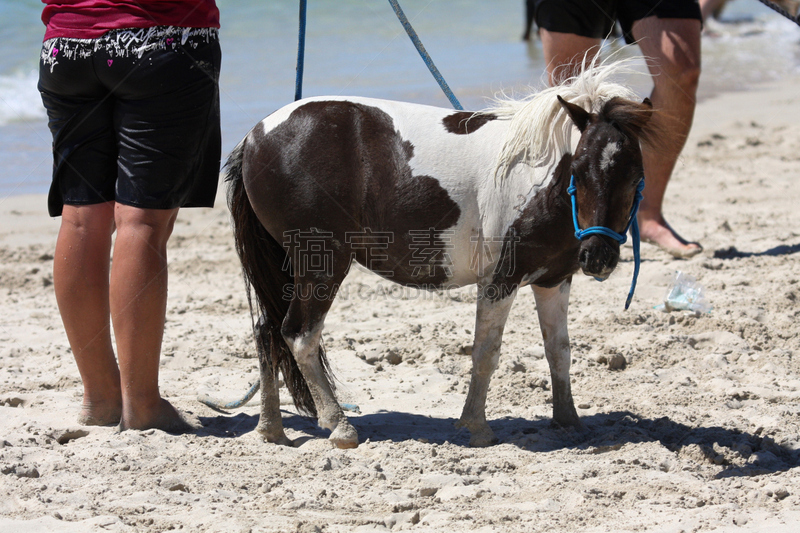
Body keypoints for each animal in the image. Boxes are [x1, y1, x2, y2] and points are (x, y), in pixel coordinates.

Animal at [225, 60, 664, 446]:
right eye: (579, 170)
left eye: (636, 176)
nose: (598, 257)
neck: (536, 177)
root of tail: (255, 136)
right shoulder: (500, 281)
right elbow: (486, 354)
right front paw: (476, 427)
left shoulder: (554, 281)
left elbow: (559, 351)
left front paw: (568, 421)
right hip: (322, 263)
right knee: (298, 334)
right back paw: (339, 425)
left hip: (290, 265)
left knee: (267, 331)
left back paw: (270, 429)